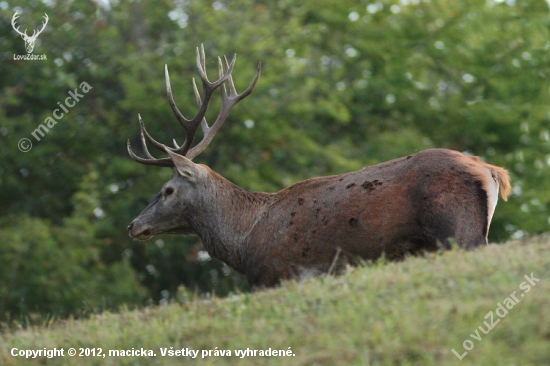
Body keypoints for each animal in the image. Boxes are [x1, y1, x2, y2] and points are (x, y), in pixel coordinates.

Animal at [126, 45, 512, 288]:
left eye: (167, 190)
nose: (133, 225)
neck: (245, 238)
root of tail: (492, 171)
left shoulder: (275, 274)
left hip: (457, 228)